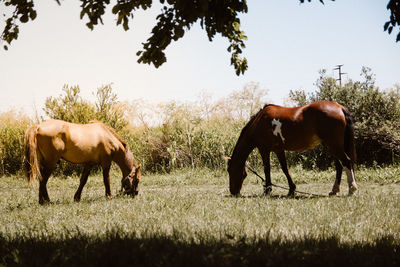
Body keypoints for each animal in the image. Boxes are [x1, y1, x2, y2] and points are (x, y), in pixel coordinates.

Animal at [228, 100, 360, 197]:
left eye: (230, 170)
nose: (233, 192)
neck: (259, 122)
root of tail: (339, 107)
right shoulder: (279, 150)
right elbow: (285, 168)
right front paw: (291, 190)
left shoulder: (264, 149)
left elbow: (267, 169)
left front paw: (267, 190)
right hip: (333, 145)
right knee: (339, 166)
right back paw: (334, 190)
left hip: (334, 144)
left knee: (346, 162)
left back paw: (352, 189)